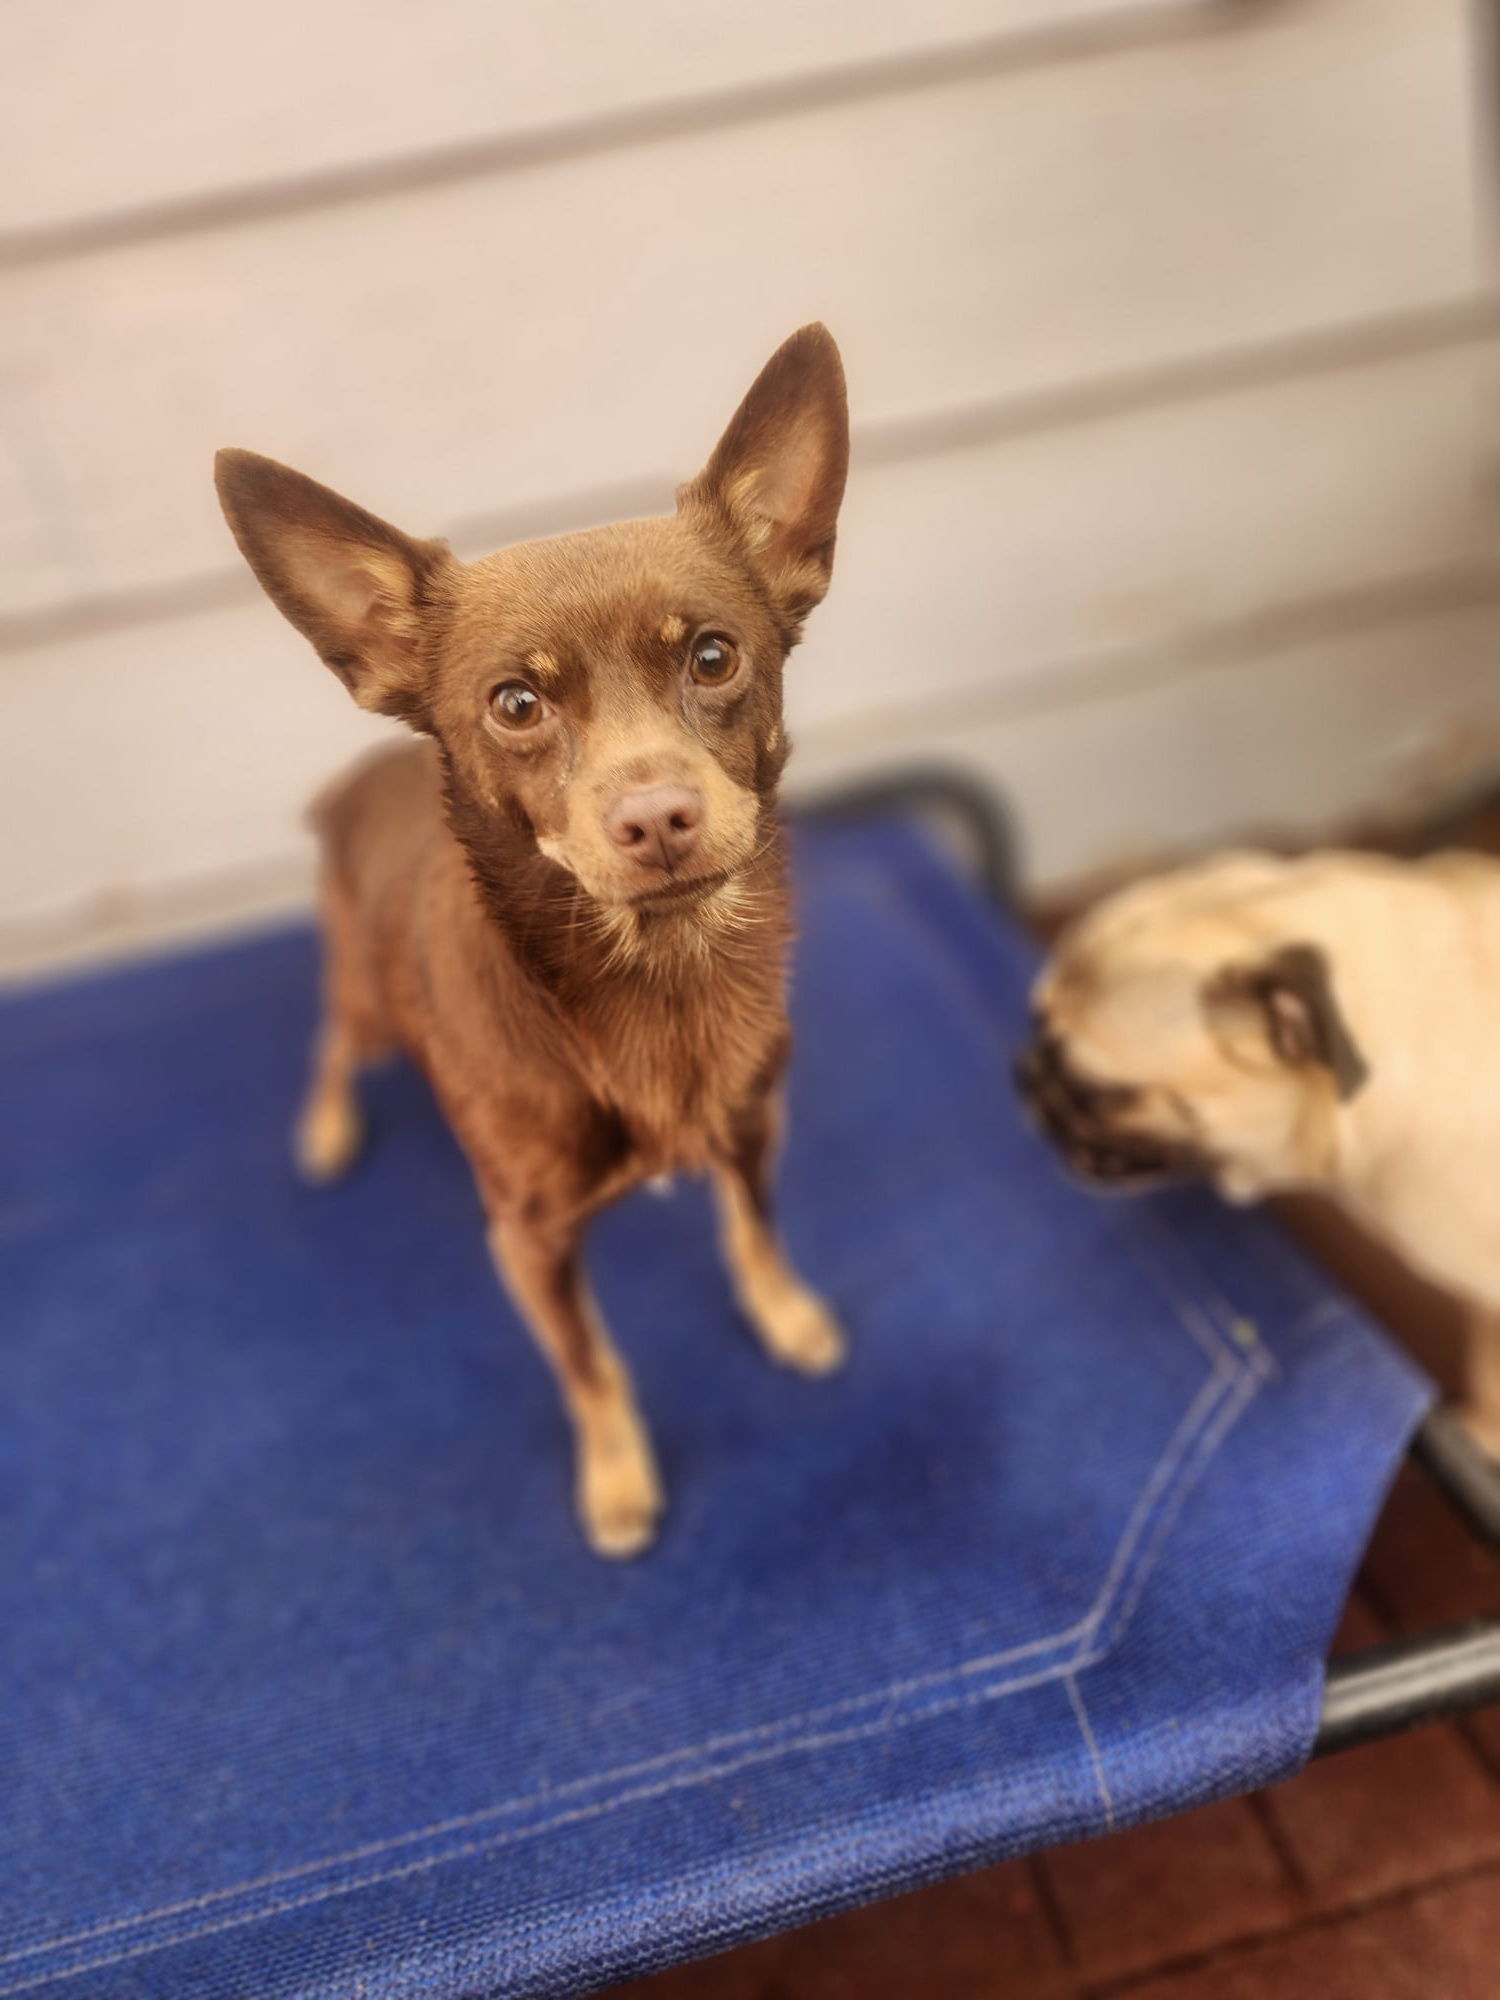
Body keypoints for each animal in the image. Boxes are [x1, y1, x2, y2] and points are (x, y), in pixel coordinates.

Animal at [219, 320, 856, 1552]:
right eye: (517, 704)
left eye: (714, 657)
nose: (656, 817)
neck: (659, 975)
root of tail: (354, 785)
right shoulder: (528, 1242)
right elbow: (592, 1367)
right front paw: (616, 1478)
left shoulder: (756, 1125)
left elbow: (755, 1229)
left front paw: (786, 1311)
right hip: (366, 1001)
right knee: (331, 1041)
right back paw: (324, 1128)